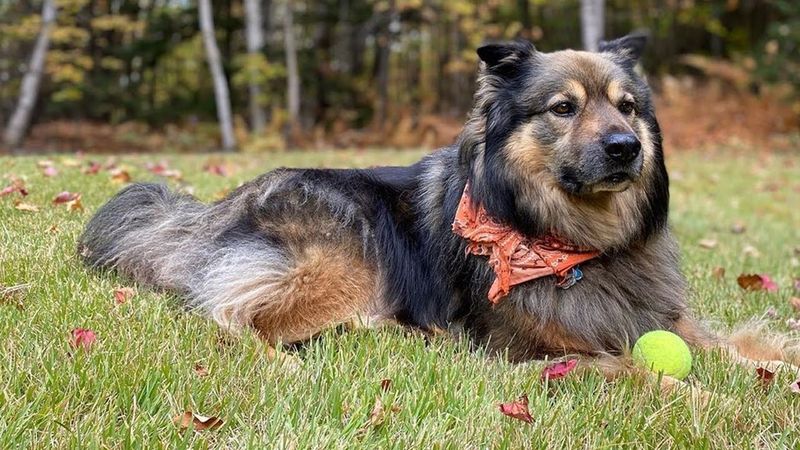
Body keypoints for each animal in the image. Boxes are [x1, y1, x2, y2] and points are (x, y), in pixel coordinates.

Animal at [81, 33, 800, 382]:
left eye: (627, 107)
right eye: (563, 108)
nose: (627, 148)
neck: (573, 241)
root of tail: (211, 213)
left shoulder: (662, 317)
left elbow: (737, 348)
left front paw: (774, 370)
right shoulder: (538, 353)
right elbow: (660, 377)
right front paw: (716, 401)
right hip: (347, 256)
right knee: (227, 318)